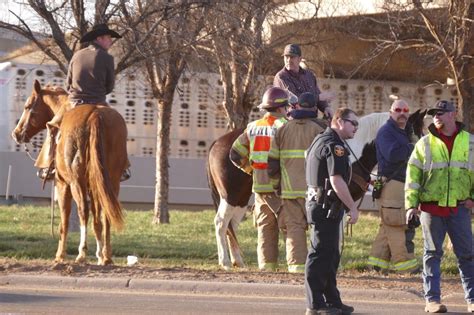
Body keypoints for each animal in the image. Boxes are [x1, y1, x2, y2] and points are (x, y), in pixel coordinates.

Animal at [12, 79, 128, 266]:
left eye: (27, 106)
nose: (16, 134)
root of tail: (95, 114)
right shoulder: (94, 185)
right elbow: (97, 219)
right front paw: (99, 254)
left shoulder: (62, 184)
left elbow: (64, 221)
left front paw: (60, 255)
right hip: (111, 181)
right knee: (107, 213)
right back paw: (106, 256)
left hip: (75, 182)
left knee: (82, 210)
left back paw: (82, 253)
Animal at [207, 110, 426, 270]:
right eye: (415, 133)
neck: (352, 149)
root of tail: (218, 142)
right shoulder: (338, 199)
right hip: (231, 196)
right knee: (221, 223)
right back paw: (225, 262)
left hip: (241, 198)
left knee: (231, 225)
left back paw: (237, 260)